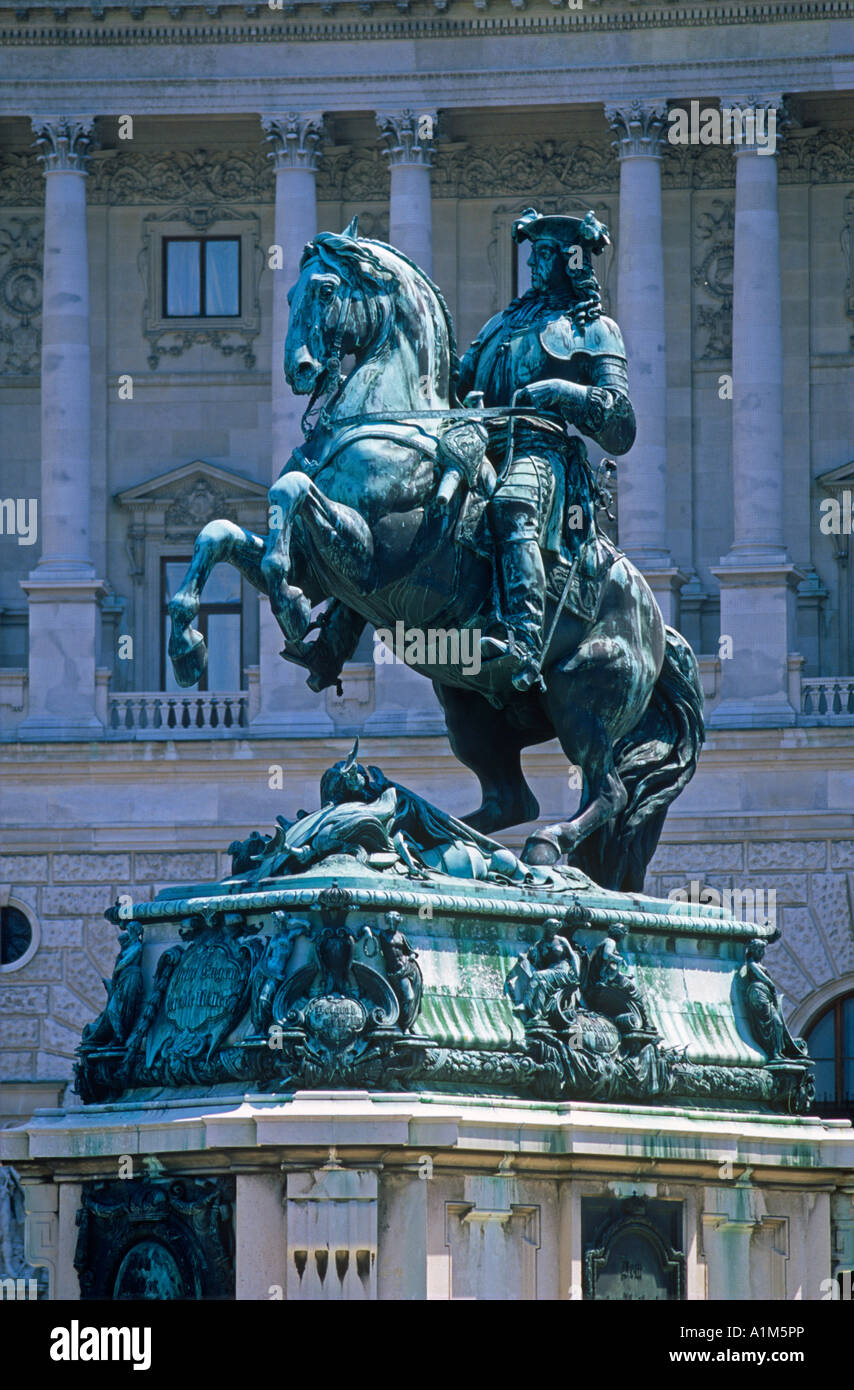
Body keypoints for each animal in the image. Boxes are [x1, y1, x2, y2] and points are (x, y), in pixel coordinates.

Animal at [167, 219, 703, 889]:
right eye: (286, 293)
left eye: (323, 288)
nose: (299, 369)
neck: (393, 419)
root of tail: (658, 624)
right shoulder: (329, 574)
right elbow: (221, 531)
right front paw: (189, 644)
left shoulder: (374, 556)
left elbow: (287, 495)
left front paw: (285, 605)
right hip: (469, 709)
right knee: (510, 801)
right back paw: (432, 832)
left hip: (584, 696)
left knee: (606, 791)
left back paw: (534, 846)